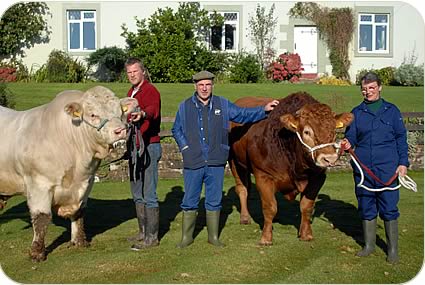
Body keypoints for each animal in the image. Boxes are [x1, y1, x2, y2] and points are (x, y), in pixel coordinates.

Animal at [0, 85, 137, 260]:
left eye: (120, 113)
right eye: (93, 114)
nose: (120, 130)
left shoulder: (87, 182)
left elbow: (79, 212)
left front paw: (79, 242)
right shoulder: (39, 184)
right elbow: (42, 218)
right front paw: (37, 252)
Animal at [227, 91, 352, 244]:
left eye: (334, 131)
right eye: (307, 132)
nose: (329, 158)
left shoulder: (318, 178)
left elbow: (306, 206)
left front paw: (306, 234)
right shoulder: (263, 175)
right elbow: (269, 207)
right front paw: (266, 238)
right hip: (234, 161)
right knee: (242, 188)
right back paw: (245, 217)